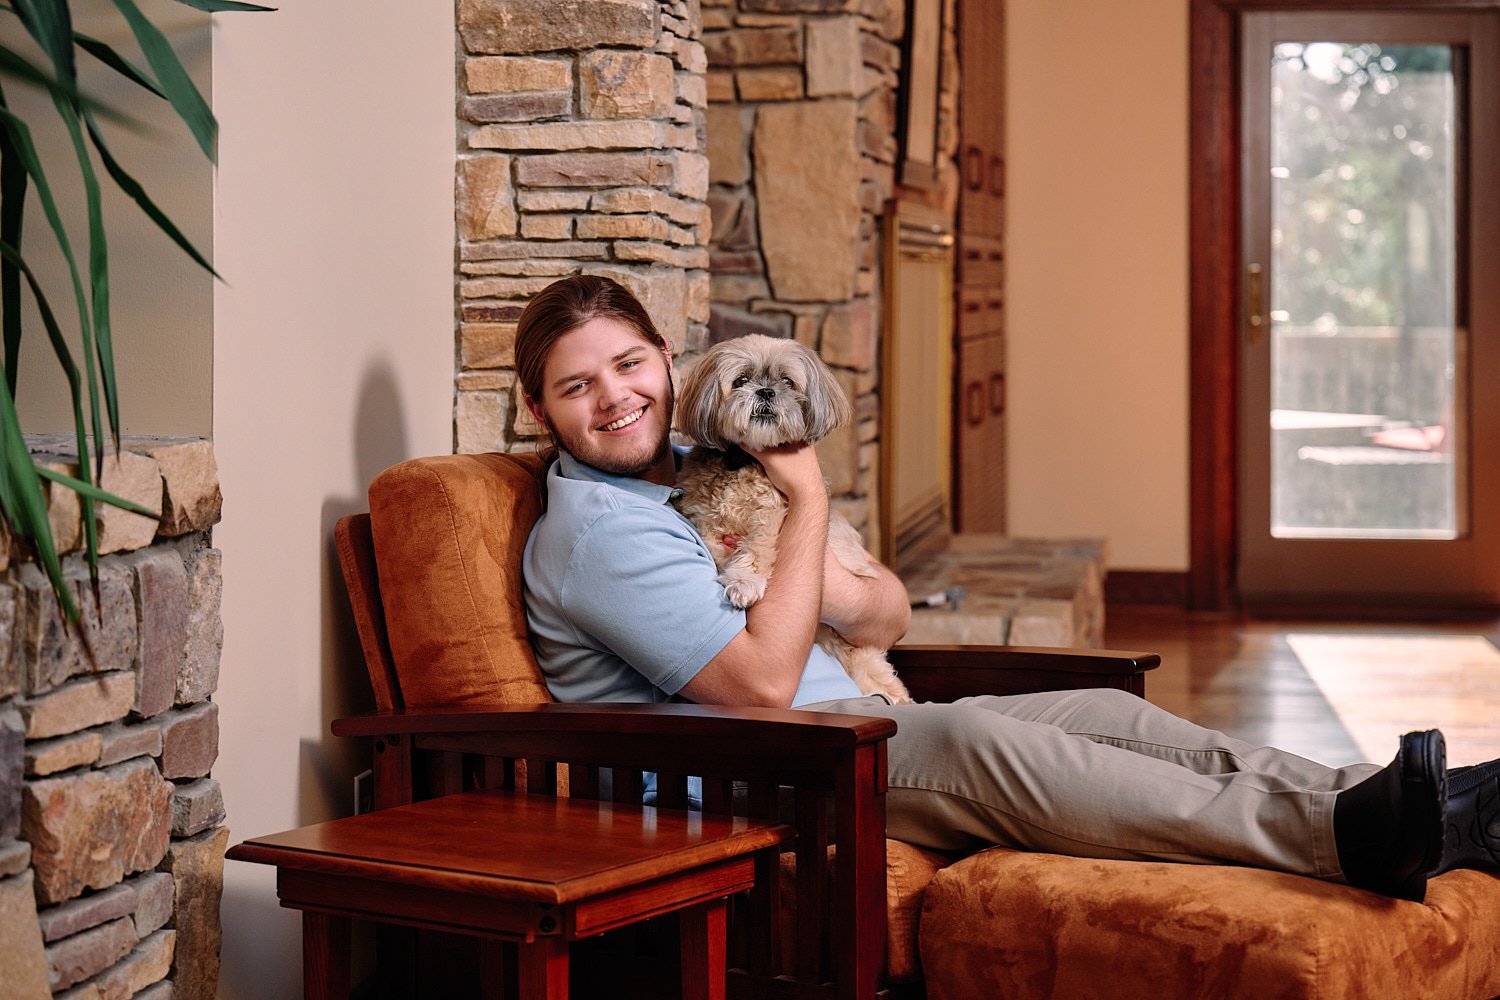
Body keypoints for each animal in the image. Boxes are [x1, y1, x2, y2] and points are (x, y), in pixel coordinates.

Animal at [672, 335, 906, 704]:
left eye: (787, 381)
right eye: (741, 380)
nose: (766, 392)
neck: (741, 463)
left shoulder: (773, 516)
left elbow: (756, 549)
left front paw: (743, 581)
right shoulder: (702, 515)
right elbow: (712, 541)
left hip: (856, 651)